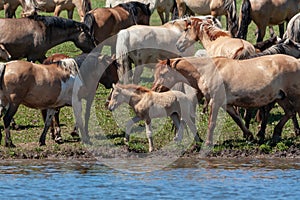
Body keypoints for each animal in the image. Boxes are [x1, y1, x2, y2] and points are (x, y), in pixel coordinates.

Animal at [152, 54, 300, 145]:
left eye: (163, 74)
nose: (155, 89)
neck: (208, 70)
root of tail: (297, 61)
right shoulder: (226, 104)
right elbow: (238, 119)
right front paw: (249, 136)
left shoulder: (215, 101)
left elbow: (212, 123)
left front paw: (208, 142)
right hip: (281, 97)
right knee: (290, 112)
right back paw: (276, 134)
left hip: (293, 95)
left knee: (294, 111)